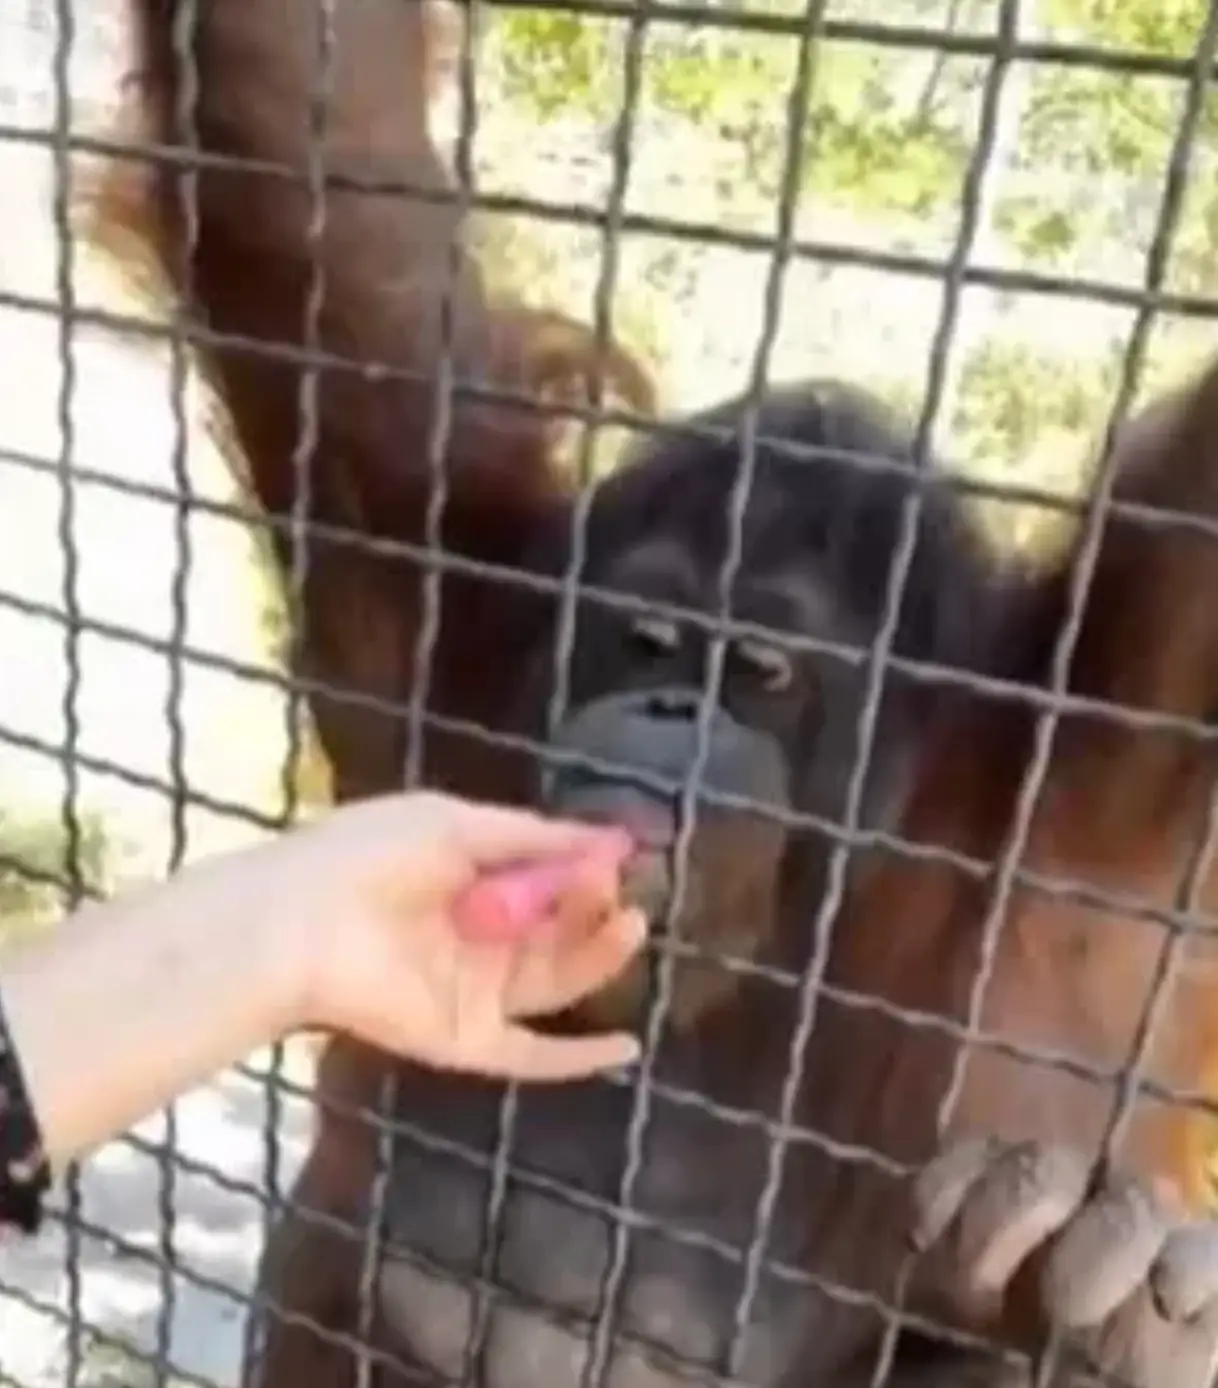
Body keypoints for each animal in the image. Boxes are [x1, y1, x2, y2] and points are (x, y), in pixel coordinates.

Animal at [79, 0, 1218, 1386]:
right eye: (654, 640)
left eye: (762, 672)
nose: (676, 715)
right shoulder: (446, 610)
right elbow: (293, 149)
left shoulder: (1102, 779)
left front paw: (1112, 1296)